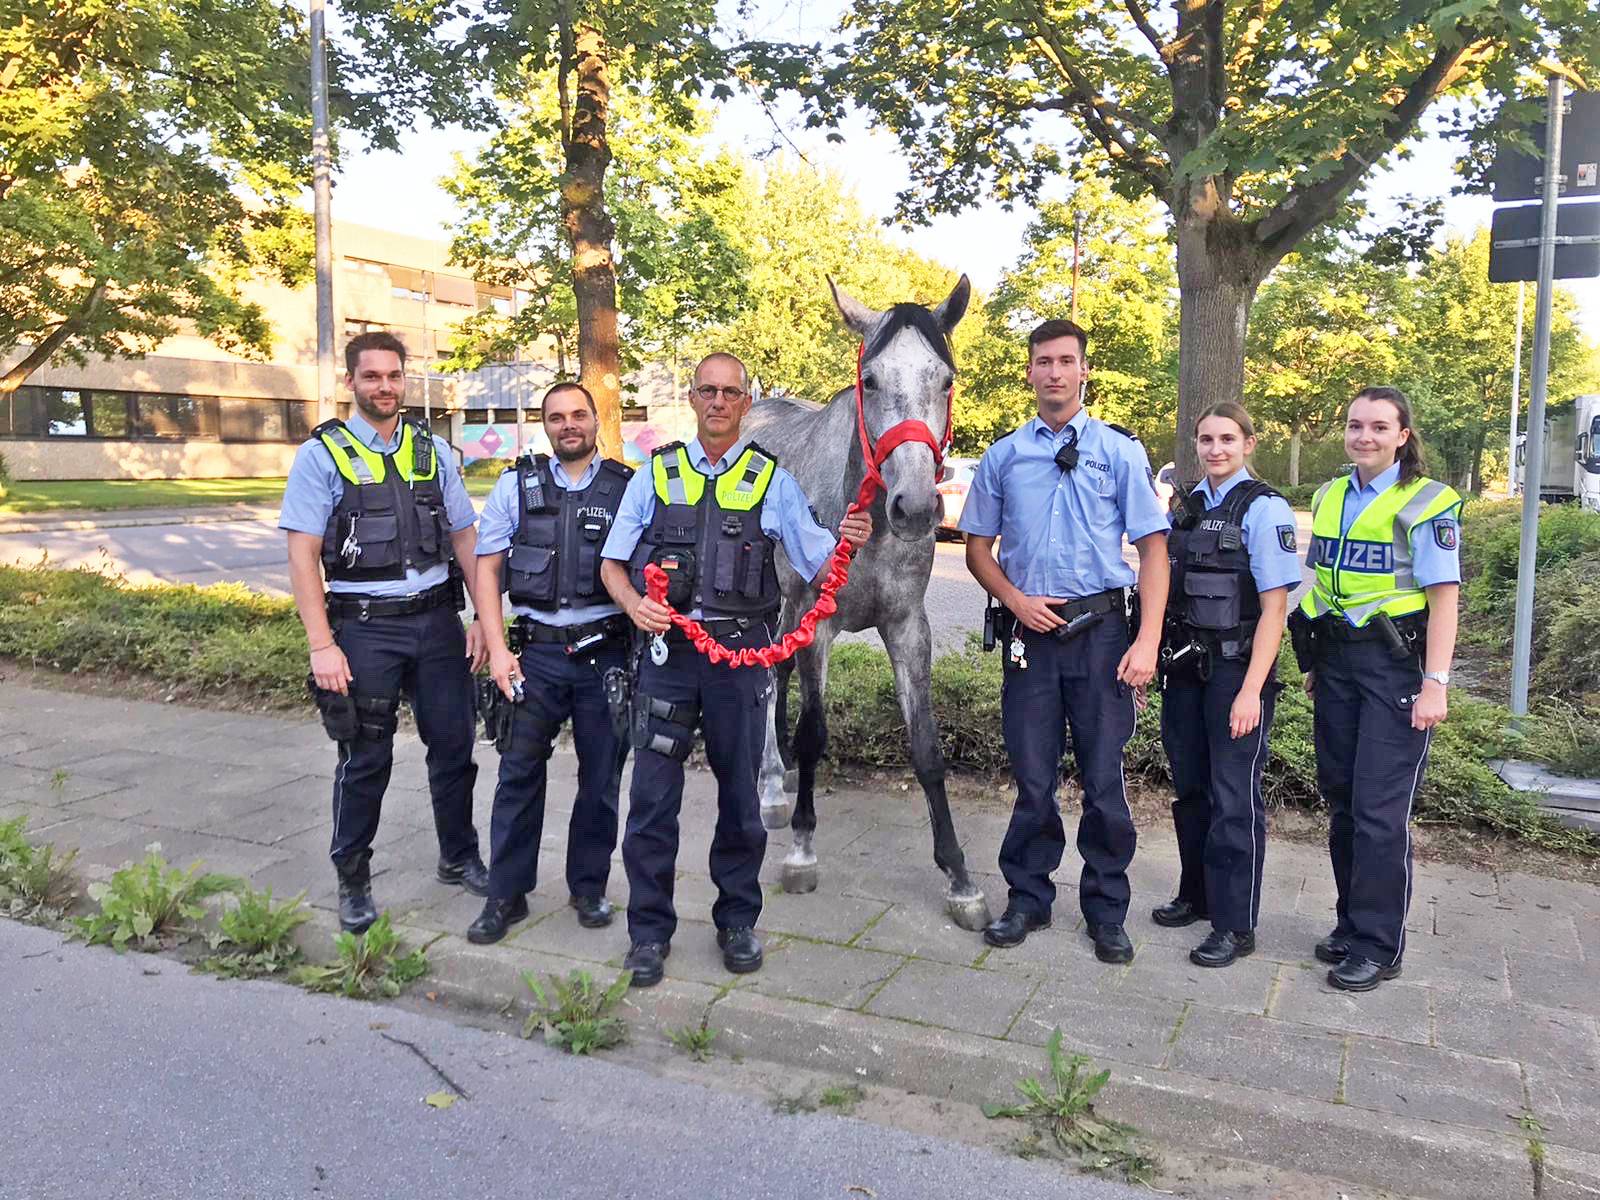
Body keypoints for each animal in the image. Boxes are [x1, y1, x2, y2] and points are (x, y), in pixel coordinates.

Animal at [745, 276, 992, 934]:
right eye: (872, 379)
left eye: (946, 379)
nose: (916, 506)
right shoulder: (820, 623)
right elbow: (814, 733)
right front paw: (802, 849)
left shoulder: (908, 628)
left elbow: (927, 748)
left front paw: (959, 877)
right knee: (766, 676)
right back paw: (770, 787)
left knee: (777, 671)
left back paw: (776, 782)